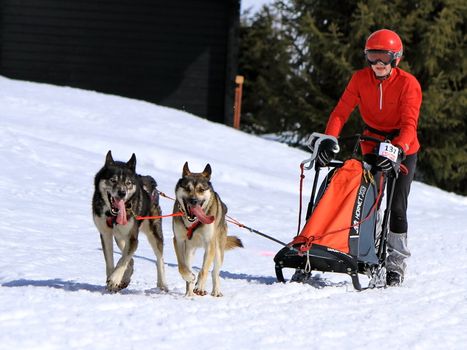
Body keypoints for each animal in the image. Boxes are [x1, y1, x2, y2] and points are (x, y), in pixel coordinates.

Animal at [92, 150, 167, 292]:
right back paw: (125, 278)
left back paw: (163, 284)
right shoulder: (106, 234)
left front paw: (114, 279)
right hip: (119, 237)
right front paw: (113, 279)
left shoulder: (132, 237)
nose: (122, 193)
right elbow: (111, 261)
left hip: (154, 233)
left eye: (128, 183)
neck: (113, 215)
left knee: (159, 258)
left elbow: (123, 260)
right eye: (113, 180)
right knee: (129, 258)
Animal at [173, 163, 245, 296]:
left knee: (214, 272)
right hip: (189, 250)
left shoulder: (209, 244)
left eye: (201, 190)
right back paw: (189, 293)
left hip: (218, 250)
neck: (193, 222)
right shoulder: (178, 241)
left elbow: (204, 270)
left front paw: (200, 287)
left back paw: (215, 291)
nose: (194, 201)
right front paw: (190, 278)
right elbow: (182, 267)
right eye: (187, 188)